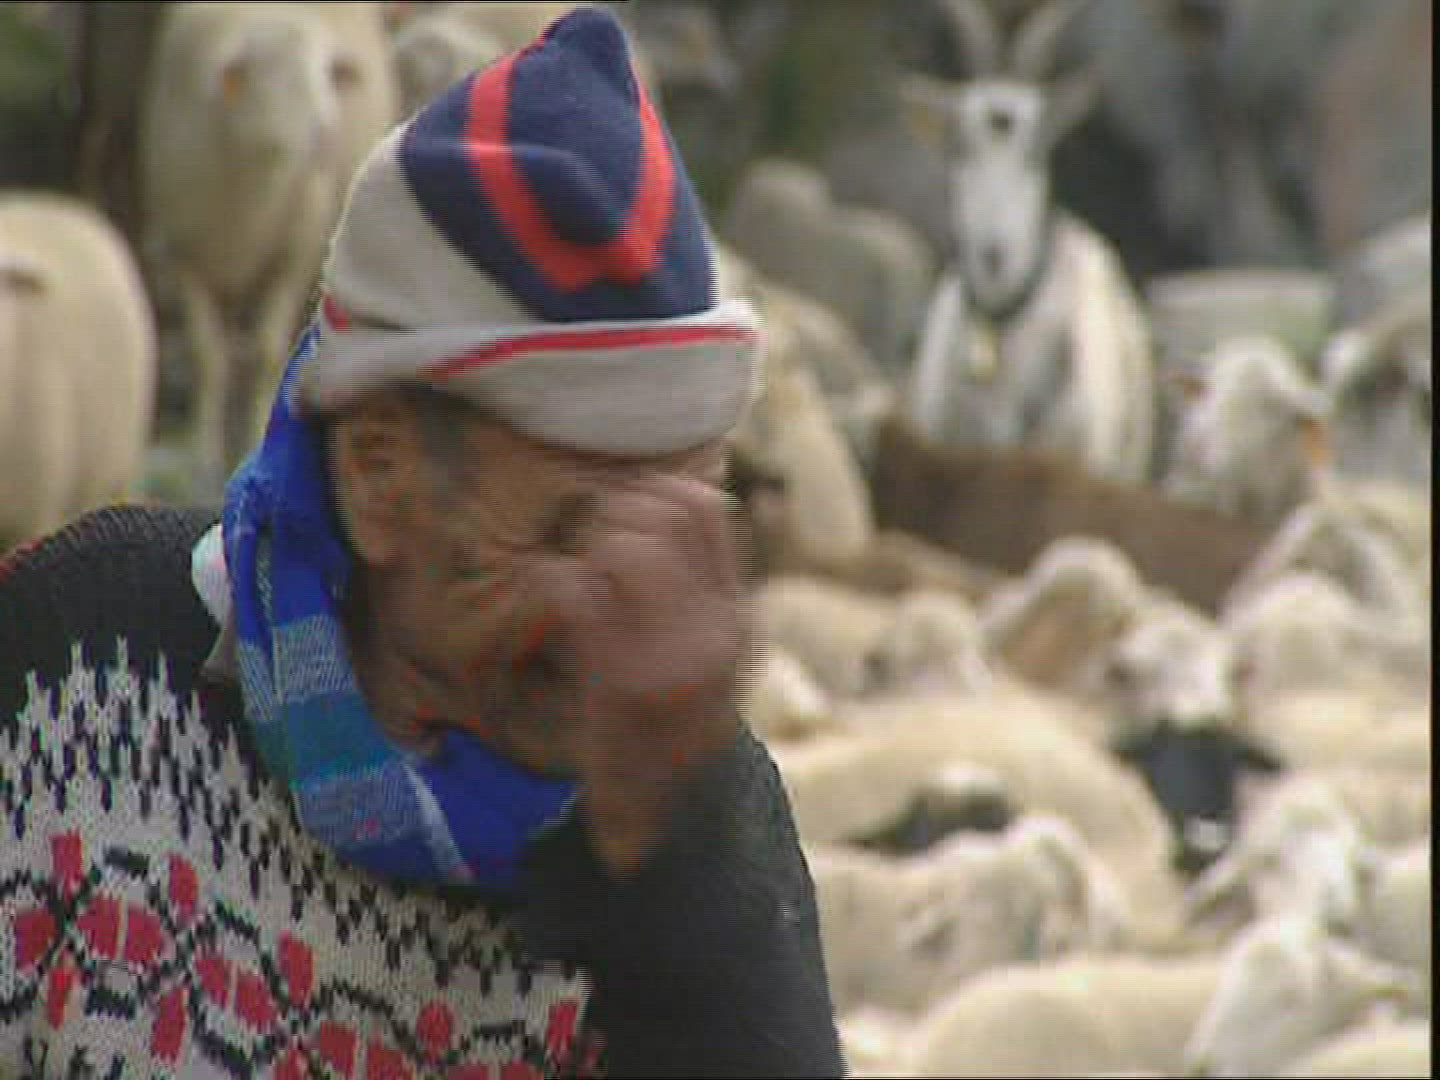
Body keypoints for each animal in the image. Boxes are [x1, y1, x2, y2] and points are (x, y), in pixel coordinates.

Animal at [139, 1, 381, 491]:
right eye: (272, 72)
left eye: (326, 72)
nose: (327, 130)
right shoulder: (187, 257)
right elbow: (206, 355)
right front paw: (204, 459)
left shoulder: (293, 255)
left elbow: (269, 348)